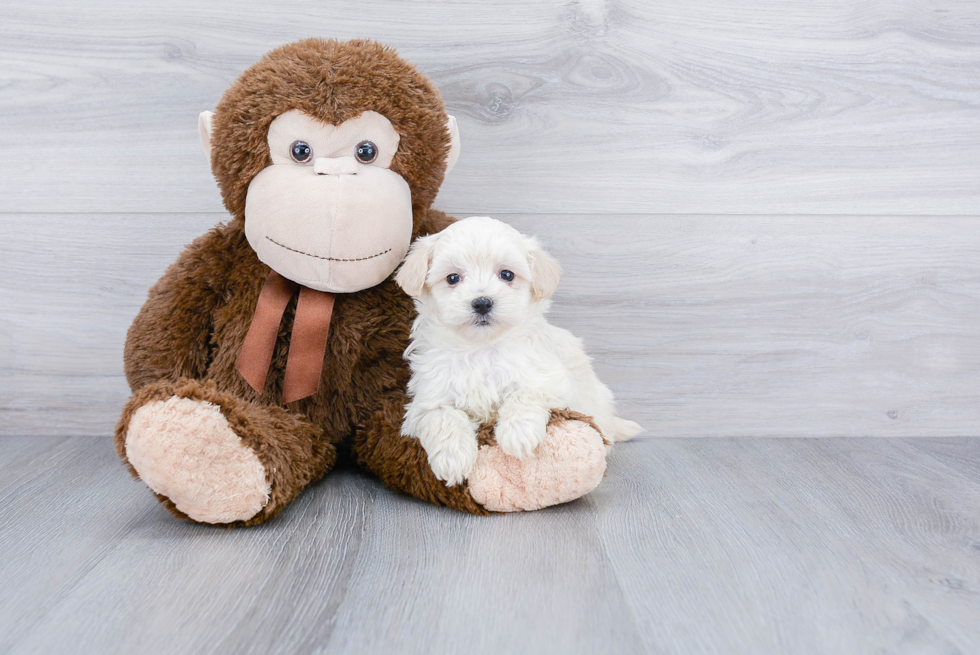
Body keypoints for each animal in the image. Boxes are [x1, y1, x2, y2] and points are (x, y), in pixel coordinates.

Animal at [394, 217, 640, 486]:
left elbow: (524, 394)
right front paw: (453, 458)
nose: (482, 302)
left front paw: (518, 435)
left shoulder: (550, 382)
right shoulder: (426, 402)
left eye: (506, 274)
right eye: (452, 278)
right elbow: (443, 418)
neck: (481, 348)